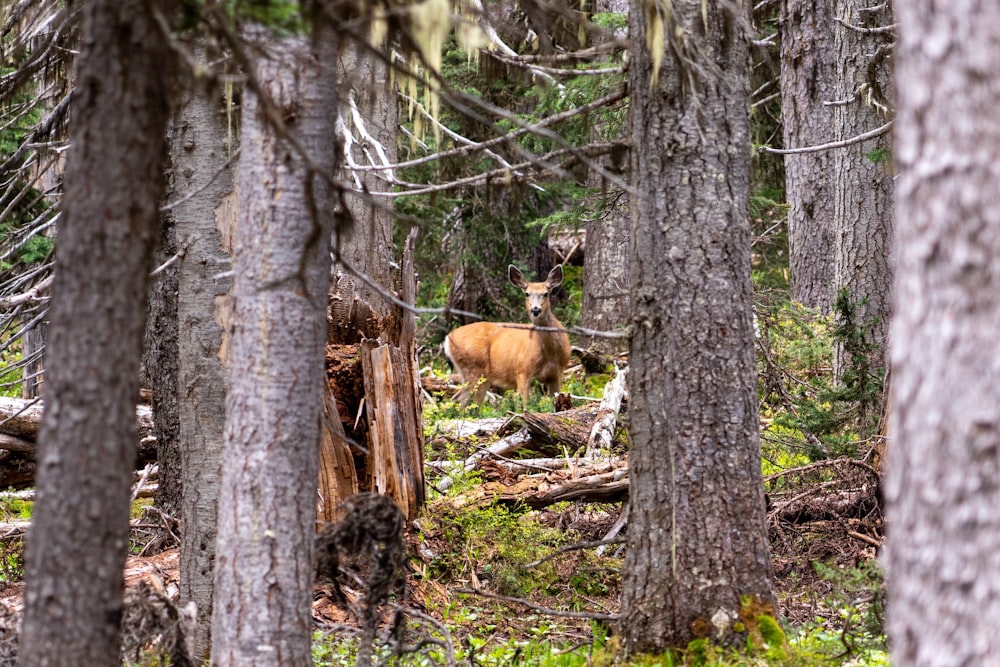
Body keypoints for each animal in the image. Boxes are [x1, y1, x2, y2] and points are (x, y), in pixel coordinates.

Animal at [444, 264, 572, 410]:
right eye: (527, 293)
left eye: (546, 293)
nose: (535, 310)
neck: (549, 352)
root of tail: (447, 338)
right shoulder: (522, 371)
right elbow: (525, 405)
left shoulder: (557, 374)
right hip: (474, 369)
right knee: (462, 400)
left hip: (478, 376)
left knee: (462, 401)